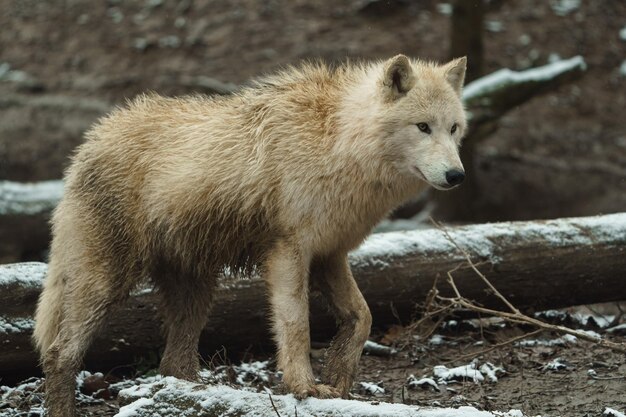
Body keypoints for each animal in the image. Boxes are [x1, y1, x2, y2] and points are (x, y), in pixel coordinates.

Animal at [34, 54, 464, 412]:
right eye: (423, 127)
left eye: (454, 128)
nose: (456, 175)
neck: (339, 142)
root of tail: (90, 141)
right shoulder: (289, 252)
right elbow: (297, 325)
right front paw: (304, 387)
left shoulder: (329, 253)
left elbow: (363, 317)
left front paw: (338, 381)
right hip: (108, 283)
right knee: (59, 353)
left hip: (197, 289)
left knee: (172, 364)